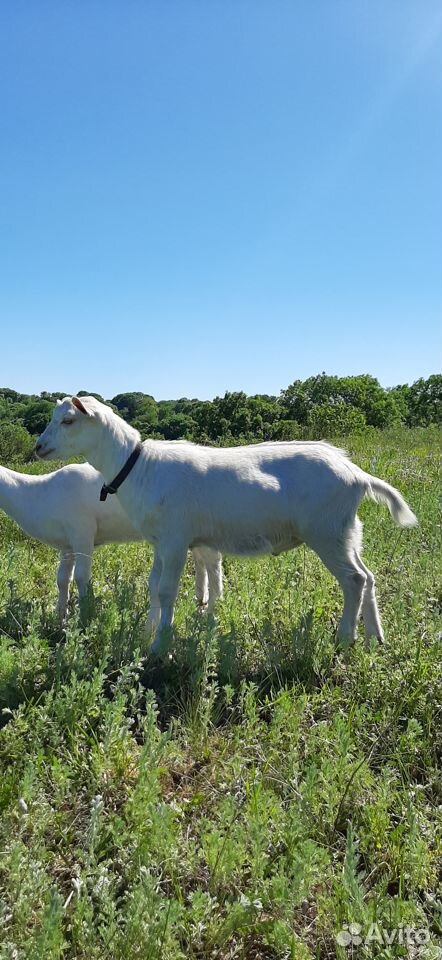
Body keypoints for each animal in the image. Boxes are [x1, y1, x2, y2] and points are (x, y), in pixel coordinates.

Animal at [0, 462, 221, 620]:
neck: (41, 495)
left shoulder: (82, 533)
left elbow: (81, 576)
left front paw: (85, 615)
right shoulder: (67, 544)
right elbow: (62, 579)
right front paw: (61, 617)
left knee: (213, 563)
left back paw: (209, 610)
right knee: (201, 560)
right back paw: (200, 602)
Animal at [36, 394, 416, 648]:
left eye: (68, 421)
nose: (39, 447)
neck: (138, 467)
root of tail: (356, 475)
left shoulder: (176, 539)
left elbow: (167, 589)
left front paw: (161, 647)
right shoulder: (160, 541)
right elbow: (153, 587)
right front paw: (147, 635)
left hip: (326, 531)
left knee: (354, 580)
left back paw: (345, 638)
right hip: (347, 531)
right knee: (368, 576)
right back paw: (375, 638)